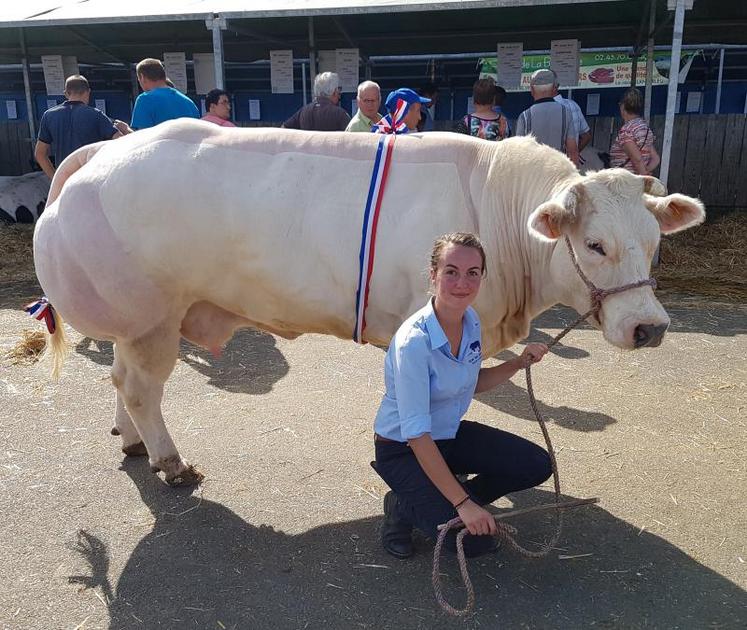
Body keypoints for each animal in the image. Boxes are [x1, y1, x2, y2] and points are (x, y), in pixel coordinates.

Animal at [35, 119, 704, 484]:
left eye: (654, 243)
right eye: (594, 244)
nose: (649, 328)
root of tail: (103, 151)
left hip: (136, 323)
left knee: (122, 380)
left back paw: (133, 443)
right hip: (152, 319)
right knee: (141, 388)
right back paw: (170, 463)